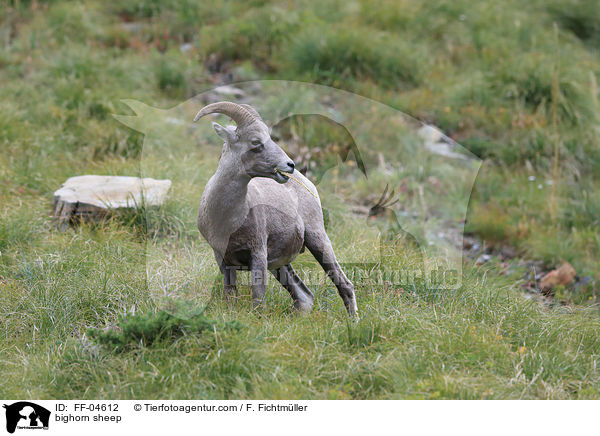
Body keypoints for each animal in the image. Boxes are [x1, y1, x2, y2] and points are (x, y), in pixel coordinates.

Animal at [195, 101, 358, 316]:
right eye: (256, 141)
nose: (289, 165)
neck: (227, 218)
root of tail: (307, 182)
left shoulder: (258, 255)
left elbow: (258, 299)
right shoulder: (223, 258)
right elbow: (231, 295)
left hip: (318, 240)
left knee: (344, 284)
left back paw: (353, 320)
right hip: (281, 265)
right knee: (304, 296)